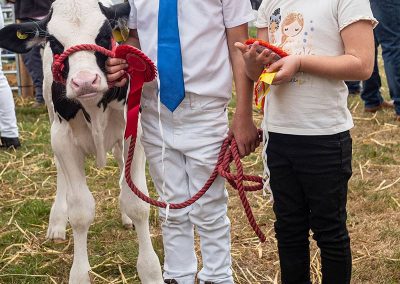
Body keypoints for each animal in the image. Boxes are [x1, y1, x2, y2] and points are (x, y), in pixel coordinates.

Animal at [0, 1, 163, 282]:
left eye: (105, 33)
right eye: (54, 41)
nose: (85, 81)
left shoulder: (136, 131)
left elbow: (136, 203)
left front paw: (151, 271)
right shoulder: (63, 140)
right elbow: (80, 211)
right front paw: (79, 273)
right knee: (60, 175)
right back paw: (56, 222)